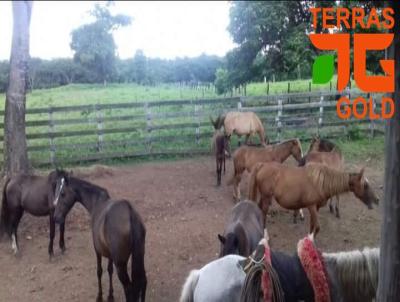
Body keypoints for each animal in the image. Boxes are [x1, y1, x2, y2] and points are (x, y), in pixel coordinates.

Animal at [52, 172, 147, 302]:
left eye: (62, 193)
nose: (56, 217)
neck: (97, 202)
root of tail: (130, 212)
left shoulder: (97, 250)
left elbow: (99, 271)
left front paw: (100, 296)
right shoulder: (109, 253)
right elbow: (109, 270)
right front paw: (110, 295)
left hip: (121, 265)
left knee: (129, 289)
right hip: (139, 257)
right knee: (143, 282)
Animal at [248, 162, 380, 235]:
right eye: (365, 185)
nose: (377, 199)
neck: (321, 183)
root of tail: (262, 165)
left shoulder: (315, 208)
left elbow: (312, 226)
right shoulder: (311, 207)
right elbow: (316, 227)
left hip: (264, 197)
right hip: (266, 197)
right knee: (263, 214)